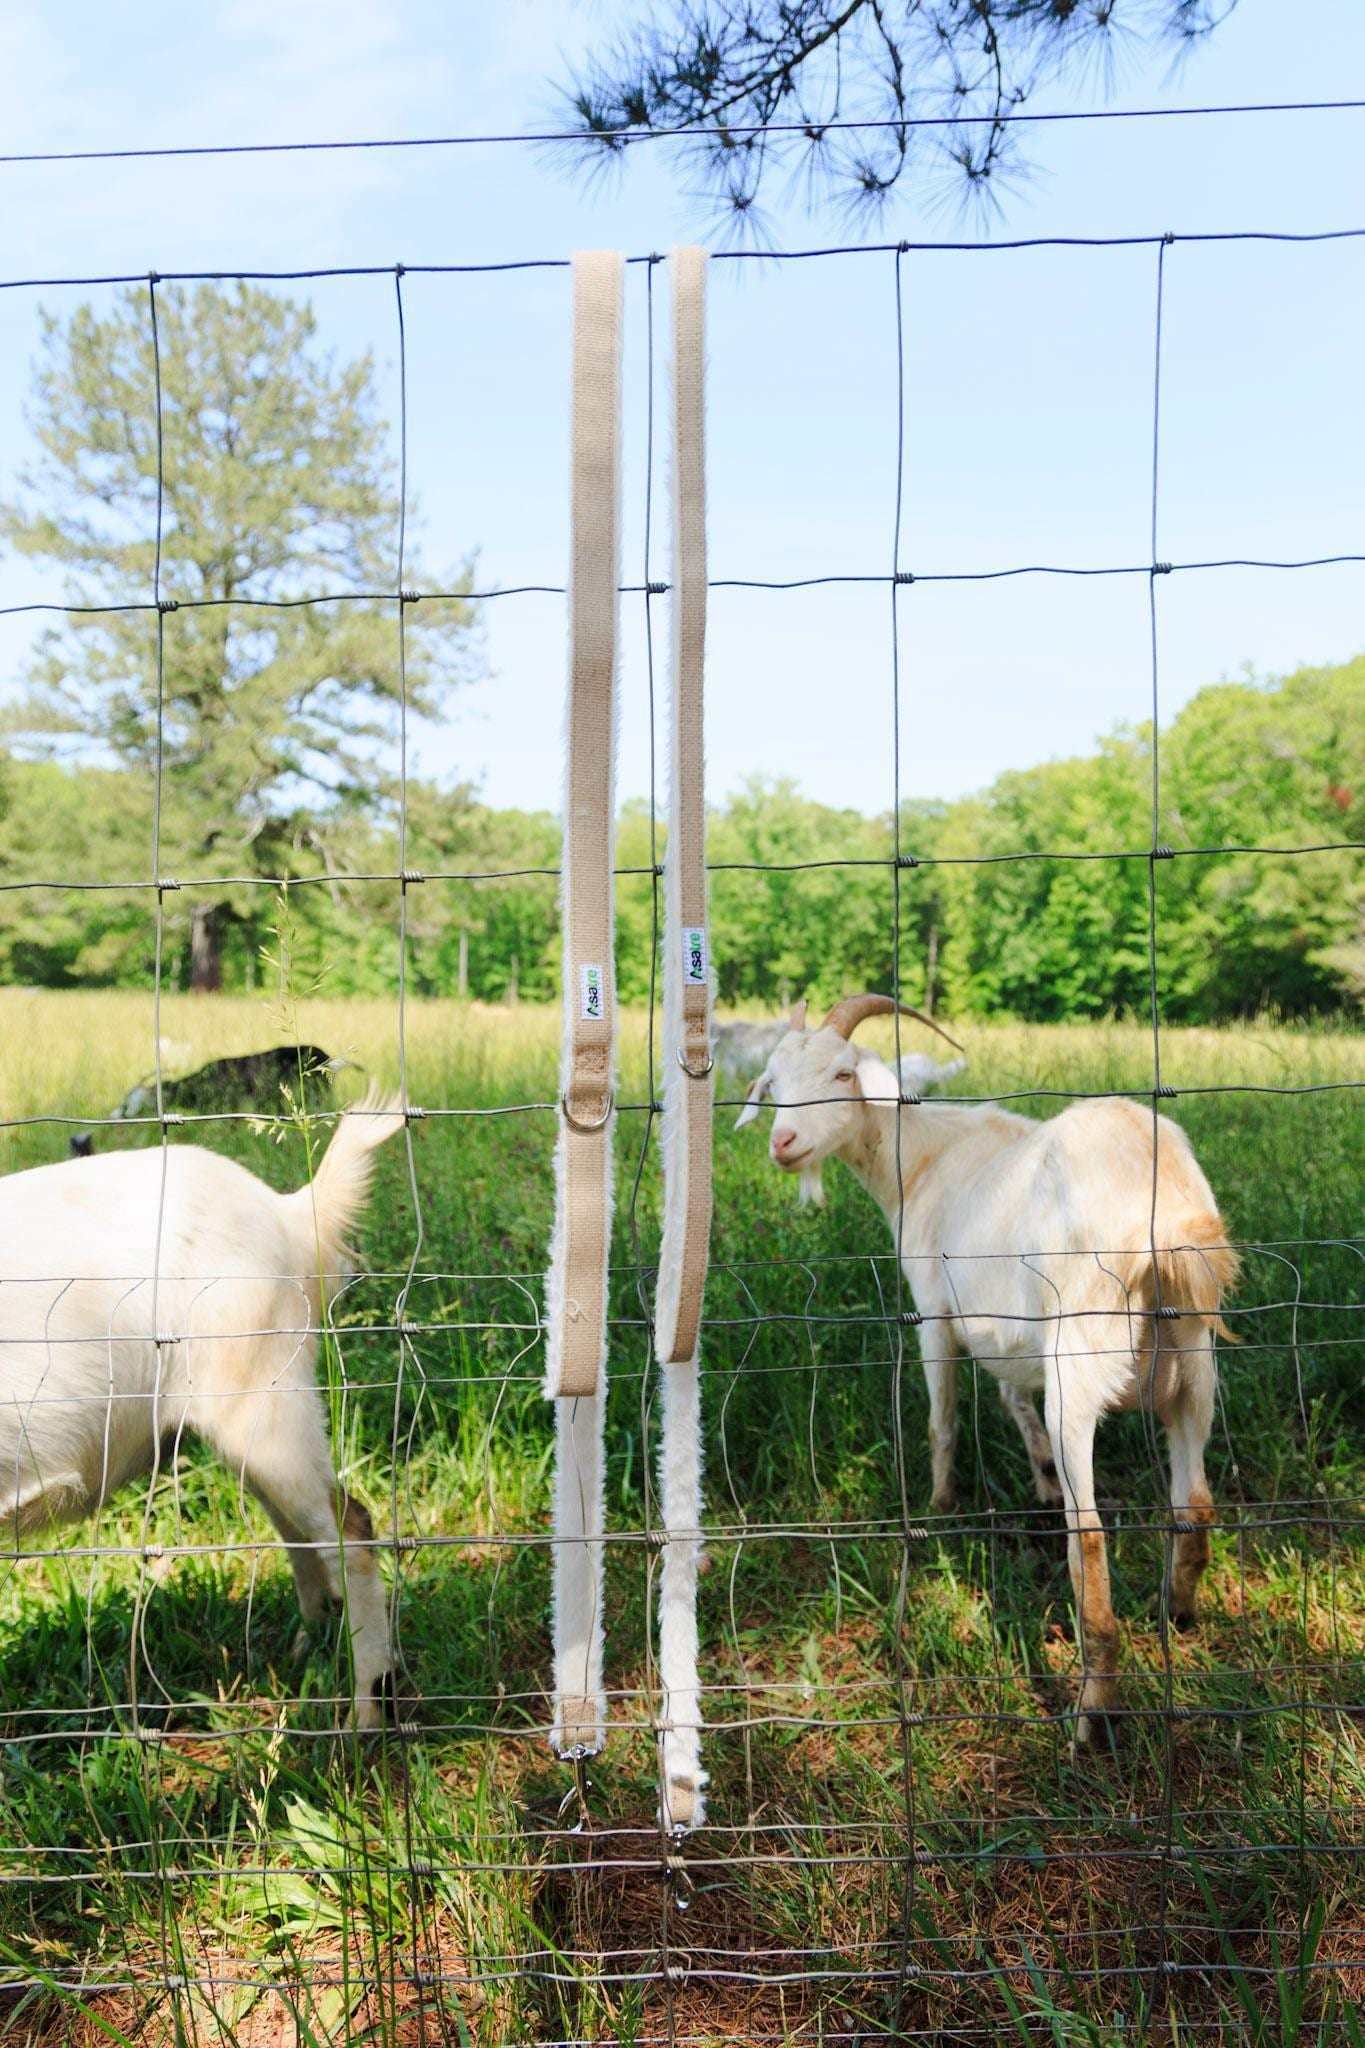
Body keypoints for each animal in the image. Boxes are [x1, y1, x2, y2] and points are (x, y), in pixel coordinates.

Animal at [0, 1090, 403, 1726]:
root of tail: (287, 1212)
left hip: (262, 1395)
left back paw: (364, 1715)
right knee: (297, 1528)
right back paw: (307, 1651)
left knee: (350, 1529)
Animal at [737, 993, 1237, 1747]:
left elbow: (943, 1418)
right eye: (773, 1081)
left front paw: (941, 1505)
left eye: (843, 1073)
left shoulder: (933, 1310)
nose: (783, 1143)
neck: (921, 1158)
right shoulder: (1005, 1327)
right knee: (1194, 1505)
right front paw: (1040, 1476)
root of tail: (1163, 1216)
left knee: (1090, 1536)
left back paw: (1091, 1714)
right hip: (1191, 1368)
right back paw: (1176, 1614)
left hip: (1081, 1360)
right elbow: (1010, 1395)